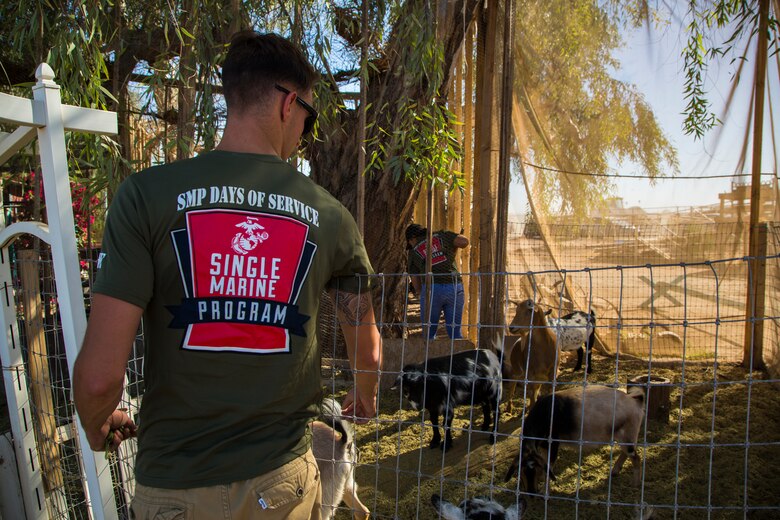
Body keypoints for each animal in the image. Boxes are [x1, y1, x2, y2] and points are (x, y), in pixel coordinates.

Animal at [506, 386, 644, 492]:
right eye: (520, 471)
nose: (531, 492)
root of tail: (636, 403)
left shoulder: (554, 442)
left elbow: (549, 466)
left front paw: (545, 491)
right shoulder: (544, 445)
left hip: (628, 435)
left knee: (636, 457)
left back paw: (635, 485)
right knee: (627, 453)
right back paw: (614, 473)